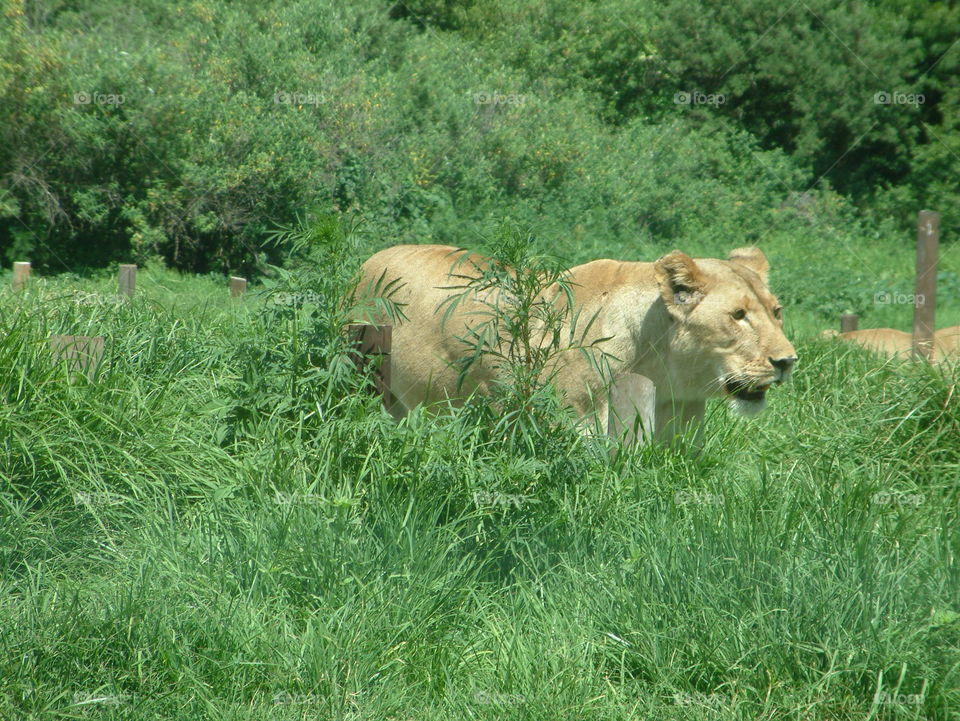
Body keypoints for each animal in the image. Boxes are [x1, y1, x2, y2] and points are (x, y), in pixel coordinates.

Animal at [356, 244, 797, 441]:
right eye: (738, 316)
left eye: (776, 311)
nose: (787, 361)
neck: (662, 372)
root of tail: (371, 259)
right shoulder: (575, 426)